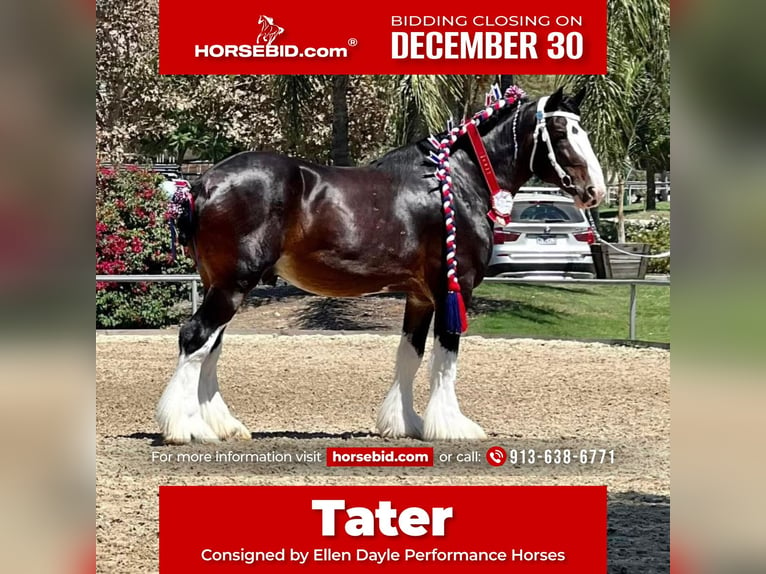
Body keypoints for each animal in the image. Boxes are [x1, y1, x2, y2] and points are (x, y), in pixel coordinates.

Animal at [158, 86, 608, 446]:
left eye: (582, 130)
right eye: (563, 133)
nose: (595, 191)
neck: (460, 182)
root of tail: (202, 183)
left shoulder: (421, 296)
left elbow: (410, 353)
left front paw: (405, 423)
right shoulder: (453, 287)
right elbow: (446, 356)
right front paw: (451, 426)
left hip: (222, 284)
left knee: (211, 346)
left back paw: (220, 426)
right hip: (234, 284)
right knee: (195, 337)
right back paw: (184, 428)